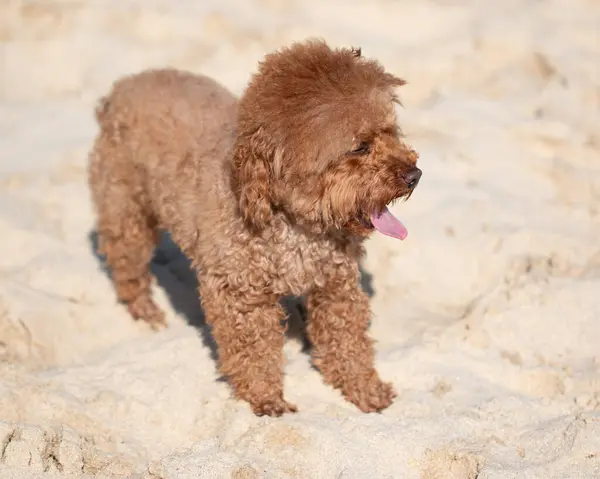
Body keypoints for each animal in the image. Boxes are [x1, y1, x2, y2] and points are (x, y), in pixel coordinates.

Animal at [88, 38, 422, 416]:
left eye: (390, 133)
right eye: (360, 147)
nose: (415, 175)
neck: (293, 223)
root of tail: (122, 87)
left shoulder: (335, 285)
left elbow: (347, 341)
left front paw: (366, 389)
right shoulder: (239, 294)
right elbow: (253, 351)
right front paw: (266, 398)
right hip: (125, 209)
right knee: (127, 265)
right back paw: (145, 311)